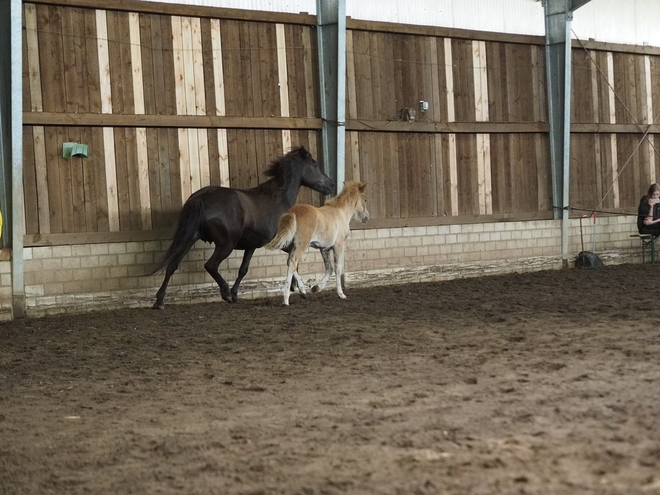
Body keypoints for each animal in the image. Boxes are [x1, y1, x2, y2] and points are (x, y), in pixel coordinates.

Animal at [150, 147, 336, 310]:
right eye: (315, 164)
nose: (332, 185)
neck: (278, 199)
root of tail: (201, 197)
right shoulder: (281, 242)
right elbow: (293, 261)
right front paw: (298, 288)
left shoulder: (251, 246)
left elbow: (243, 269)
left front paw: (237, 293)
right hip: (225, 245)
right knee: (210, 265)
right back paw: (225, 293)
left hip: (189, 238)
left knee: (172, 265)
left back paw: (160, 301)